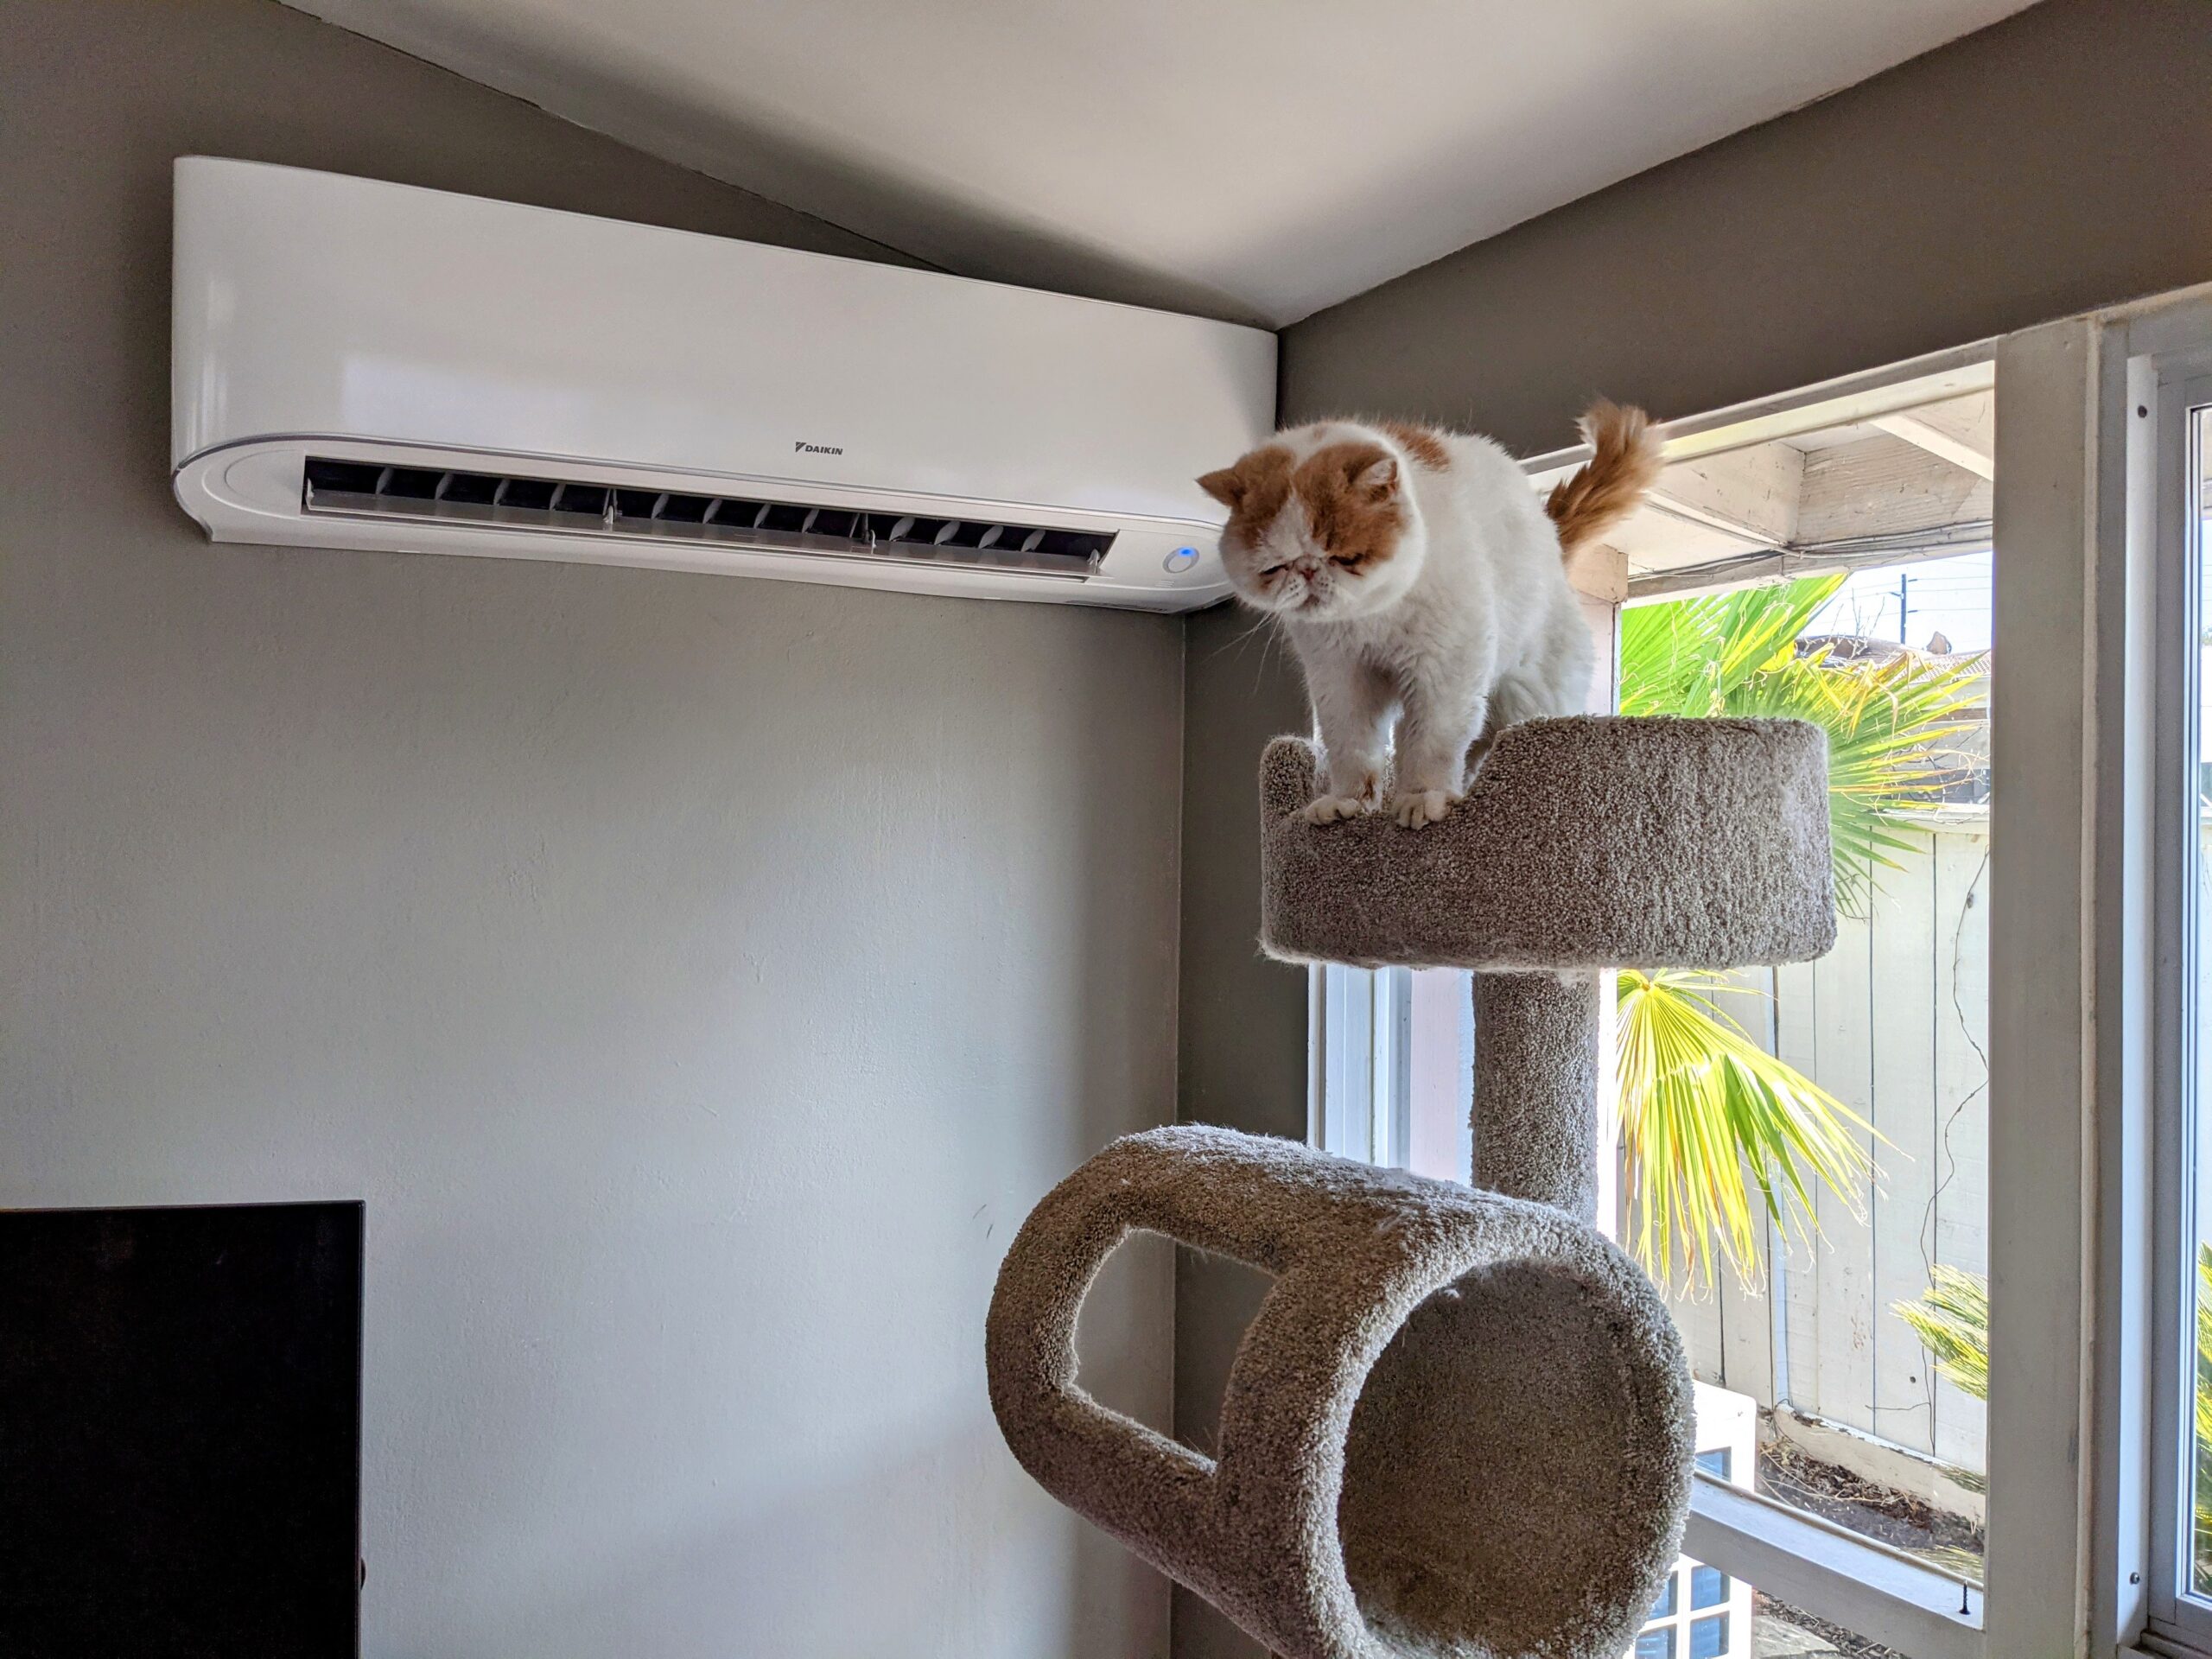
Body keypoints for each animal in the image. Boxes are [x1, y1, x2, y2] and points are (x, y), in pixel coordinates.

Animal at [1203, 396, 1654, 827]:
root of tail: (1551, 536)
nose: (1309, 571)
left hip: (1528, 699)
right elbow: (1352, 747)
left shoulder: (1446, 666)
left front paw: (1424, 796)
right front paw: (1348, 803)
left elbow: (1433, 740)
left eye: (1345, 557)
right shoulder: (1340, 675)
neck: (1371, 620)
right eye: (1275, 567)